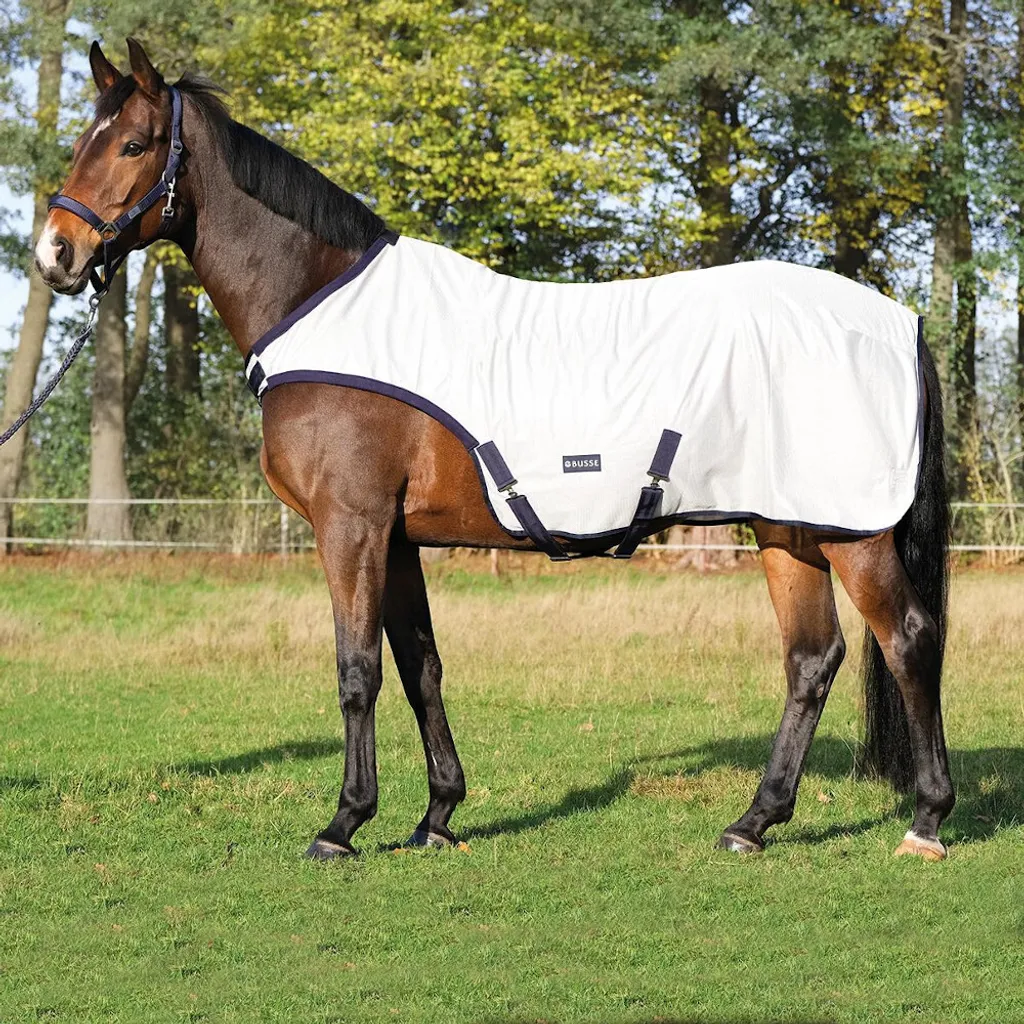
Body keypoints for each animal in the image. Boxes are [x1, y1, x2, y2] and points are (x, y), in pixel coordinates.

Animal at [33, 39, 954, 862]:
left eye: (134, 144)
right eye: (82, 140)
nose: (54, 256)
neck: (317, 301)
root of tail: (897, 318)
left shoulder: (351, 524)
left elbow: (357, 670)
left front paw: (343, 824)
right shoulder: (396, 537)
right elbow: (419, 666)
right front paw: (437, 816)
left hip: (851, 531)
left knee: (909, 638)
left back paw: (926, 822)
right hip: (788, 528)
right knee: (813, 659)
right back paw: (753, 823)